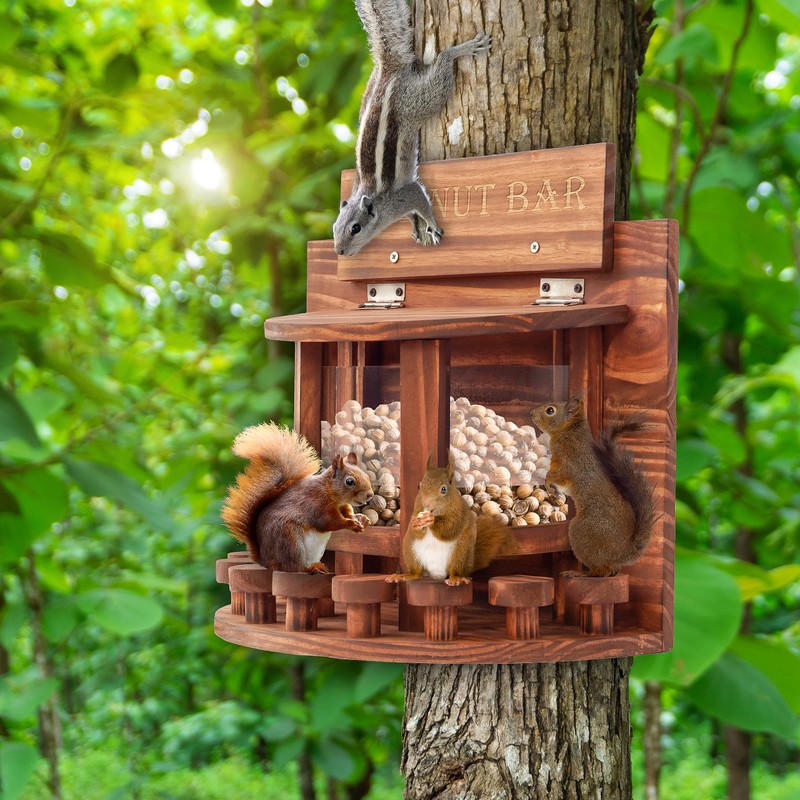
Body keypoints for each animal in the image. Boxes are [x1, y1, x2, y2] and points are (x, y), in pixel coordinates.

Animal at [221, 423, 374, 573]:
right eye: (349, 481)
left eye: (366, 475)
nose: (370, 495)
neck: (330, 492)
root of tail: (264, 560)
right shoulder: (316, 504)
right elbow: (329, 522)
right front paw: (351, 524)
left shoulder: (342, 506)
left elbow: (347, 513)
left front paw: (361, 518)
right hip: (290, 542)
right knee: (294, 567)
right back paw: (311, 568)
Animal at [333, 0, 492, 256]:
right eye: (334, 227)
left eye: (356, 228)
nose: (339, 251)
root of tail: (388, 71)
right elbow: (412, 214)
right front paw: (415, 227)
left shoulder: (406, 194)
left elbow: (422, 203)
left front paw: (432, 226)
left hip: (420, 101)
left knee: (443, 61)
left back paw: (462, 49)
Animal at [386, 453, 516, 586]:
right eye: (419, 486)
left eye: (444, 489)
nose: (426, 504)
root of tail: (436, 573)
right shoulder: (416, 507)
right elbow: (416, 528)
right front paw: (416, 523)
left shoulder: (459, 512)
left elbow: (450, 527)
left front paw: (432, 520)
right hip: (410, 548)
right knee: (417, 573)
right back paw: (404, 576)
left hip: (460, 552)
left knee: (455, 570)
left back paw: (456, 579)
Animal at [530, 397, 657, 578]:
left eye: (550, 411)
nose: (531, 413)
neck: (569, 433)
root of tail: (622, 552)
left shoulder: (567, 464)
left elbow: (556, 476)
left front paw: (548, 484)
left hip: (582, 533)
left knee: (602, 571)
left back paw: (580, 573)